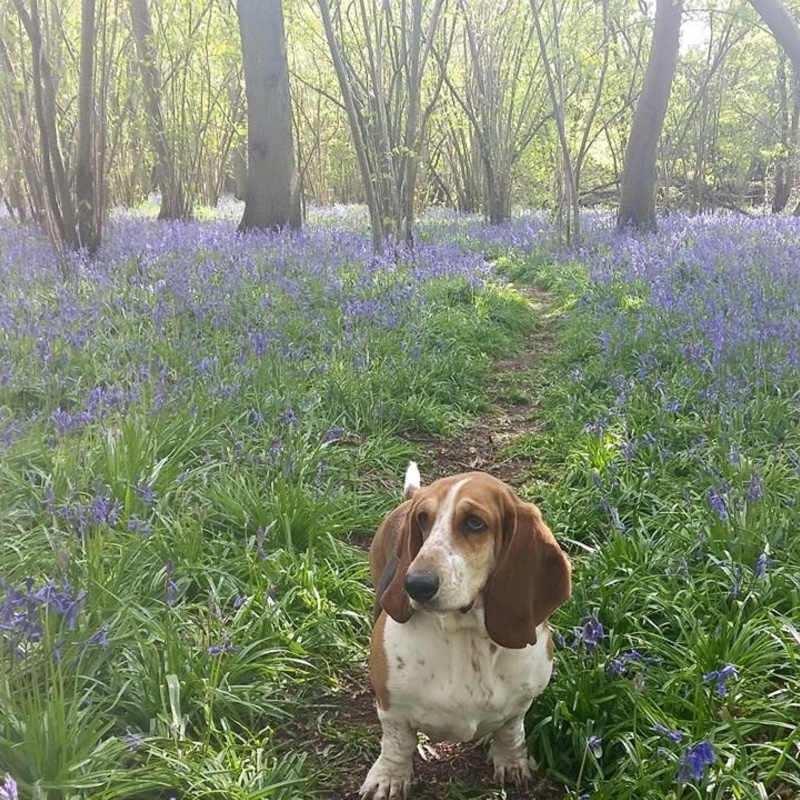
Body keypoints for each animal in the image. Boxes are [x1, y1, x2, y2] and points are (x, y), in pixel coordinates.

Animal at [360, 466, 572, 796]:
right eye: (423, 519)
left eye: (474, 522)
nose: (415, 584)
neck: (467, 634)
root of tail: (408, 499)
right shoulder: (393, 709)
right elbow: (397, 743)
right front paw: (389, 777)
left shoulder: (521, 704)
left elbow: (511, 731)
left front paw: (511, 761)